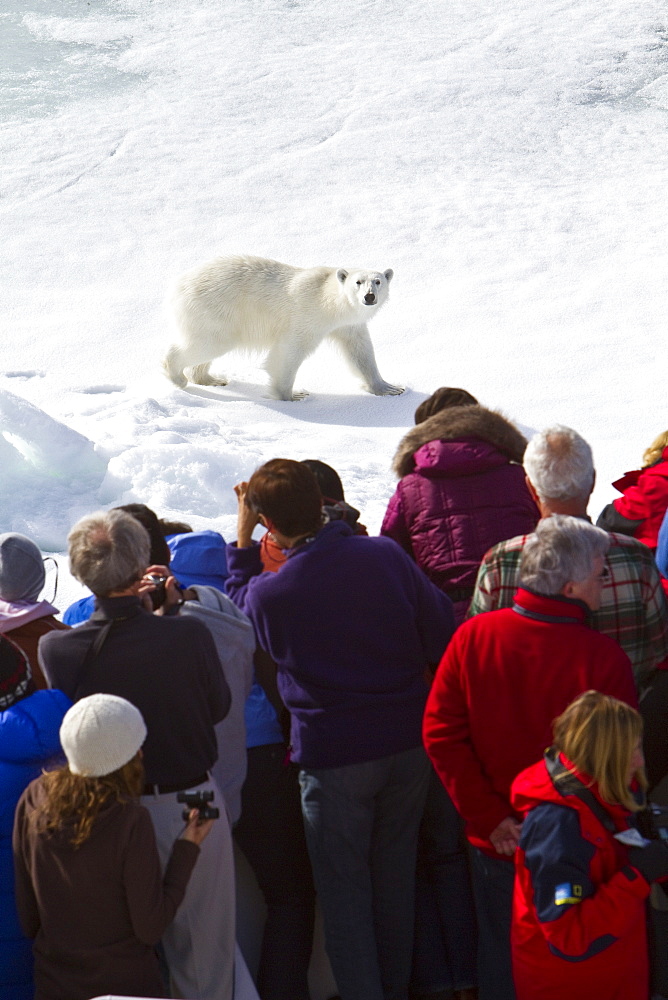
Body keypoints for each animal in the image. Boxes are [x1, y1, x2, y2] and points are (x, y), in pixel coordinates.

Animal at [163, 254, 402, 402]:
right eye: (358, 282)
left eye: (378, 281)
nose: (369, 296)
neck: (330, 302)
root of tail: (179, 286)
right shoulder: (307, 316)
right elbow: (288, 352)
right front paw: (292, 395)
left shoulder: (349, 325)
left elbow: (361, 353)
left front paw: (390, 388)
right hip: (216, 309)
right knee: (208, 343)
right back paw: (177, 376)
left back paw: (211, 379)